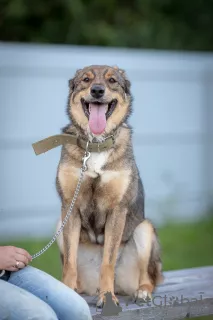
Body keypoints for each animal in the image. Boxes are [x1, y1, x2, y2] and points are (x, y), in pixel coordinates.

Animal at [55, 63, 162, 306]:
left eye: (112, 80)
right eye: (86, 79)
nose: (97, 91)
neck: (95, 145)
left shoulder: (117, 210)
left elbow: (108, 261)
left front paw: (107, 297)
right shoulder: (70, 207)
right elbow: (69, 263)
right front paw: (67, 292)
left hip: (145, 229)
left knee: (150, 277)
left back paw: (141, 292)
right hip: (59, 225)